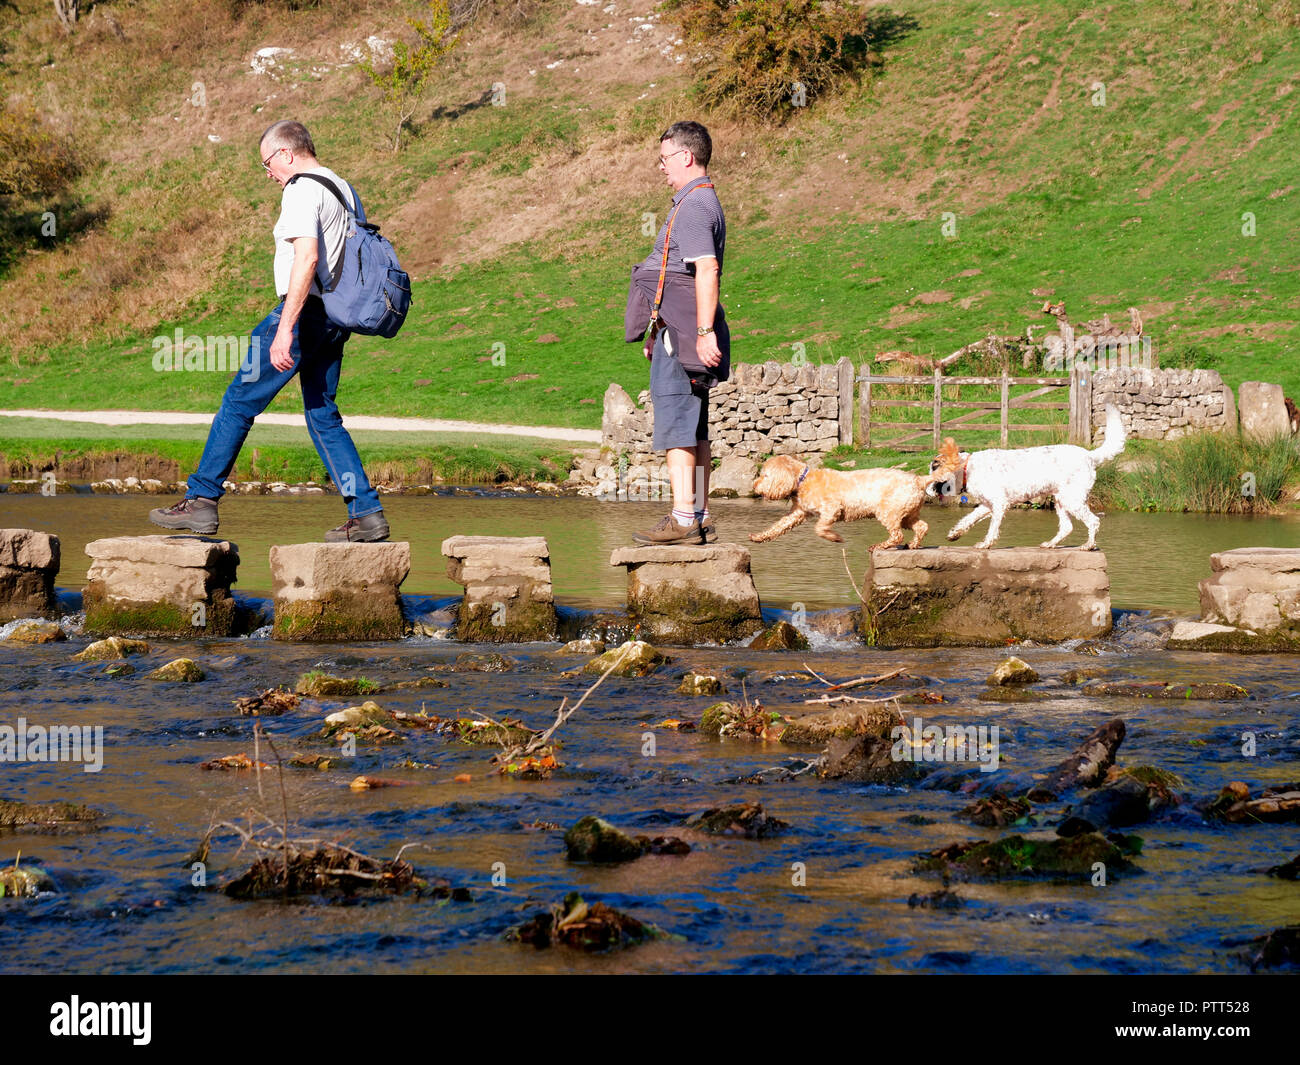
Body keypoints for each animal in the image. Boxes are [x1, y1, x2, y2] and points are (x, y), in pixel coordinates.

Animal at [754, 455, 946, 548]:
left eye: (765, 475)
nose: (754, 485)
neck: (803, 480)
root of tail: (918, 479)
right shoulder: (798, 513)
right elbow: (779, 526)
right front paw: (759, 536)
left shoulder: (831, 509)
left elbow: (819, 528)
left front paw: (835, 537)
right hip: (907, 515)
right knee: (921, 527)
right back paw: (913, 544)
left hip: (888, 512)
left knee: (897, 535)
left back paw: (879, 546)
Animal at [925, 405, 1128, 548]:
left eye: (933, 468)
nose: (926, 492)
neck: (968, 468)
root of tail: (1090, 456)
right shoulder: (987, 505)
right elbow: (969, 519)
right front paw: (955, 533)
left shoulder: (999, 504)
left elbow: (992, 528)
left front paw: (985, 544)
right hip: (1061, 500)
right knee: (1067, 527)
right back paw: (1050, 544)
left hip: (1072, 500)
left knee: (1093, 521)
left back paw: (1089, 545)